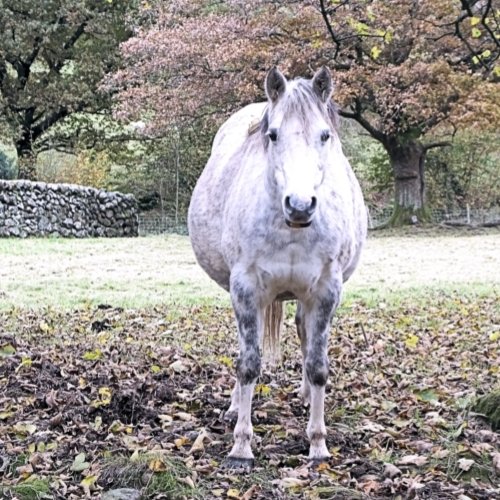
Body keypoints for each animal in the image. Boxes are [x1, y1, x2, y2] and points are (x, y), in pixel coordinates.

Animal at [189, 67, 366, 468]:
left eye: (325, 135)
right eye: (273, 135)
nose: (300, 206)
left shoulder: (326, 291)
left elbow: (318, 365)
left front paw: (317, 444)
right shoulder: (245, 288)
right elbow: (248, 363)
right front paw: (241, 447)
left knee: (303, 334)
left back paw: (304, 396)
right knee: (247, 346)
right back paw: (234, 405)